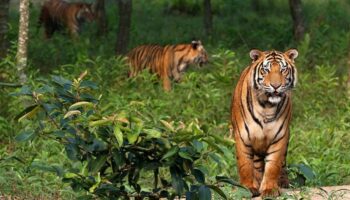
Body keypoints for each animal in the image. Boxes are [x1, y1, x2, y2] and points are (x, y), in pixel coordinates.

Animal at [231, 49, 300, 198]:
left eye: (283, 70)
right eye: (266, 70)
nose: (276, 86)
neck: (266, 106)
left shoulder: (280, 136)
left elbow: (273, 165)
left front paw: (270, 189)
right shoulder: (242, 136)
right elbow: (245, 164)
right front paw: (248, 187)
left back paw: (283, 181)